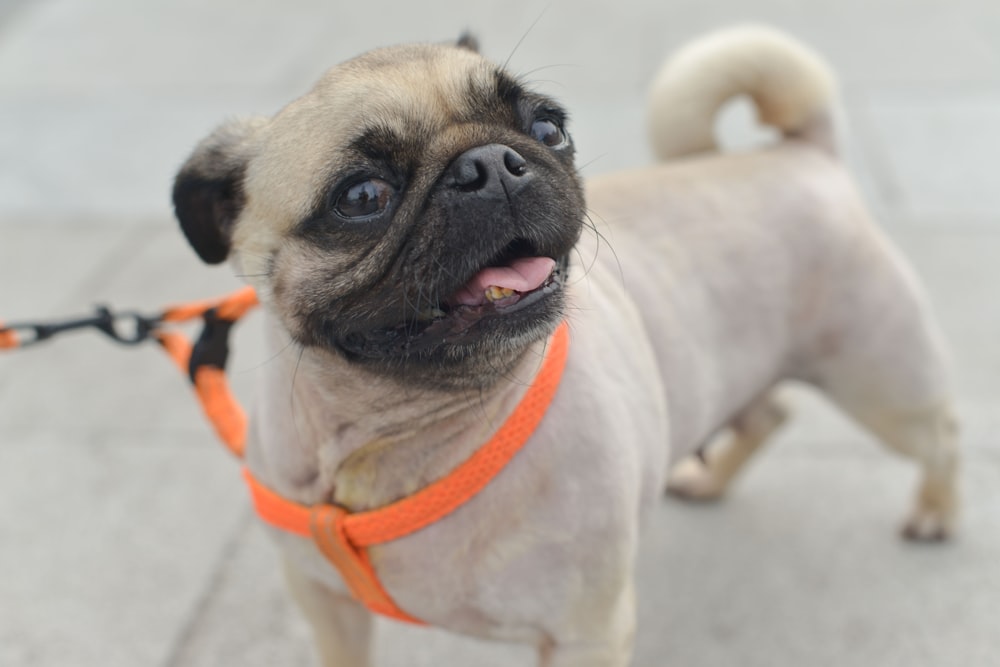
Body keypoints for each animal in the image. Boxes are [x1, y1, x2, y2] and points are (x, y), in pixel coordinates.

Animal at [174, 23, 960, 664]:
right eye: (362, 197)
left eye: (548, 128)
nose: (493, 162)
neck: (402, 434)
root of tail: (801, 152)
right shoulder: (326, 606)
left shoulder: (587, 631)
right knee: (770, 413)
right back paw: (709, 479)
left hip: (878, 374)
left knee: (941, 433)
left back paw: (936, 513)